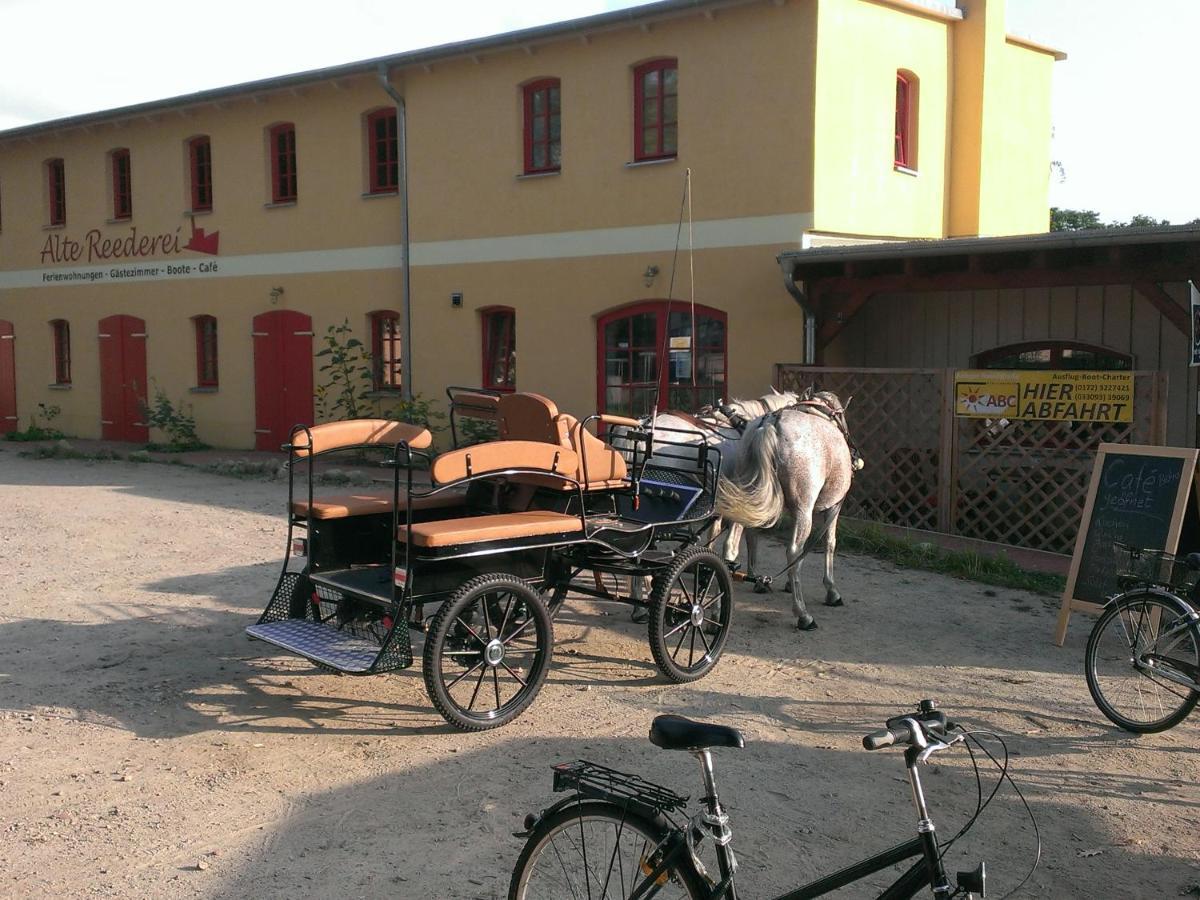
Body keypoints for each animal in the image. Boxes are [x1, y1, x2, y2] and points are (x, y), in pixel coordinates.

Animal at [715, 388, 859, 633]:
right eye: (840, 416)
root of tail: (771, 423)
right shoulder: (832, 508)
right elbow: (828, 544)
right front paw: (831, 590)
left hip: (747, 498)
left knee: (735, 542)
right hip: (803, 509)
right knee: (793, 550)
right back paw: (803, 615)